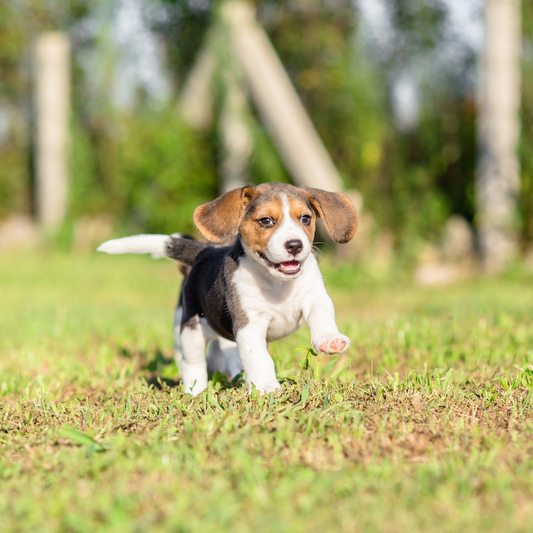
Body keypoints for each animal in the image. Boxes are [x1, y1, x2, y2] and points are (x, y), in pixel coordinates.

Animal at [98, 183, 358, 394]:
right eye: (266, 221)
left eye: (305, 219)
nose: (295, 245)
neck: (277, 282)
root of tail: (204, 252)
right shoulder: (249, 324)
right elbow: (259, 359)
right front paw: (266, 387)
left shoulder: (315, 297)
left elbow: (322, 318)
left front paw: (330, 340)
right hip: (191, 328)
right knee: (192, 362)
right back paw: (196, 392)